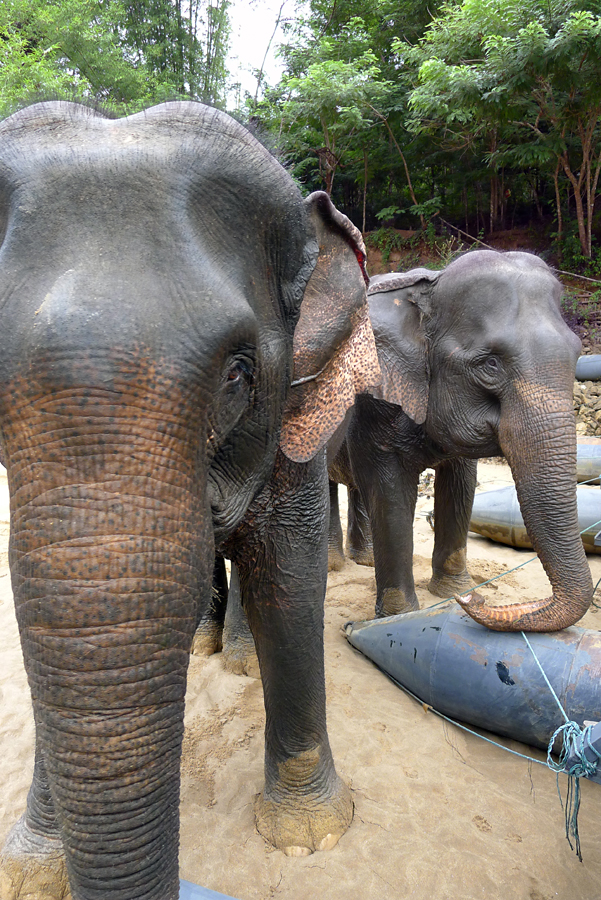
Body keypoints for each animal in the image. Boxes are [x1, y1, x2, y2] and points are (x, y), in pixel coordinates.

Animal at [0, 102, 378, 900]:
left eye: (237, 374)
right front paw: (31, 869)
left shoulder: (290, 421)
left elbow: (288, 574)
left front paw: (308, 834)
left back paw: (237, 660)